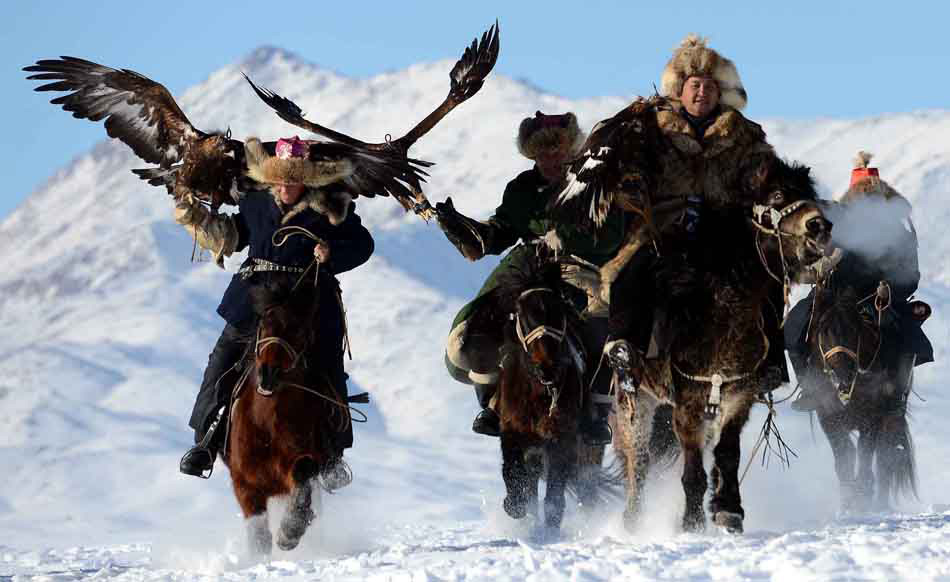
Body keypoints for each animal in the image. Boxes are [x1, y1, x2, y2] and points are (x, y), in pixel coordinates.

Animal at [223, 274, 354, 556]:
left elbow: (304, 470)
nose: (268, 374)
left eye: (300, 330)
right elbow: (258, 536)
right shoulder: (245, 485)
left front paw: (290, 531)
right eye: (263, 323)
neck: (266, 423)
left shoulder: (301, 464)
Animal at [612, 159, 828, 532]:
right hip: (635, 399)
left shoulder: (737, 396)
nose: (820, 226)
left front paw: (728, 510)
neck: (717, 314)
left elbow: (727, 455)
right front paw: (691, 523)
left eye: (809, 193)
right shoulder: (688, 403)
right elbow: (692, 471)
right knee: (637, 460)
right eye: (777, 194)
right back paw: (633, 519)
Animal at [804, 276, 924, 512]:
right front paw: (849, 501)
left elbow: (867, 455)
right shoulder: (828, 417)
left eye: (854, 331)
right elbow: (843, 458)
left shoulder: (871, 417)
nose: (844, 375)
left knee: (887, 456)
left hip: (891, 415)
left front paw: (863, 495)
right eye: (823, 332)